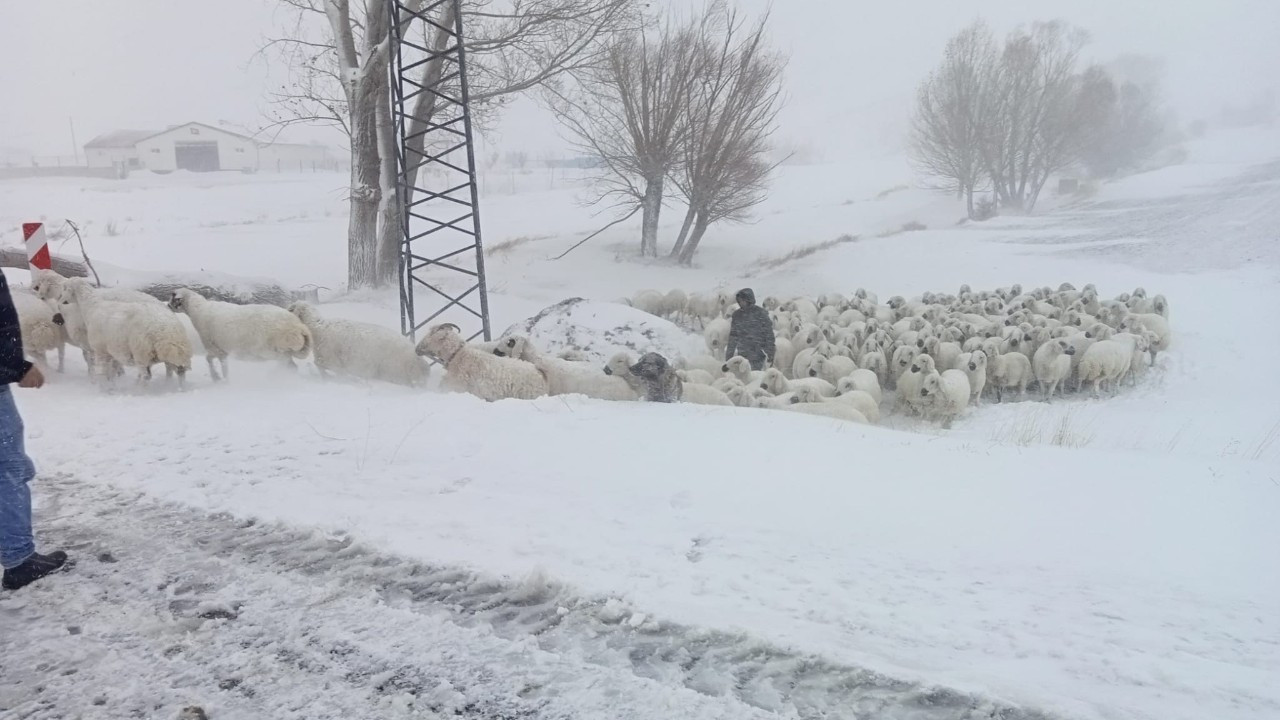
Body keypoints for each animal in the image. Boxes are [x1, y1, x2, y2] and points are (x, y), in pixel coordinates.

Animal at [167, 284, 312, 379]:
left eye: (173, 298)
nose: (167, 306)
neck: (198, 310)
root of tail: (300, 327)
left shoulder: (215, 348)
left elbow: (211, 361)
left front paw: (218, 377)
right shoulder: (221, 350)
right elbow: (220, 365)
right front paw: (221, 378)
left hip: (274, 351)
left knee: (289, 365)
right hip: (282, 351)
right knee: (290, 366)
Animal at [289, 298, 430, 384]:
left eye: (290, 309)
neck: (317, 328)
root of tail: (416, 358)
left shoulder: (332, 360)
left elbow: (325, 368)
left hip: (393, 372)